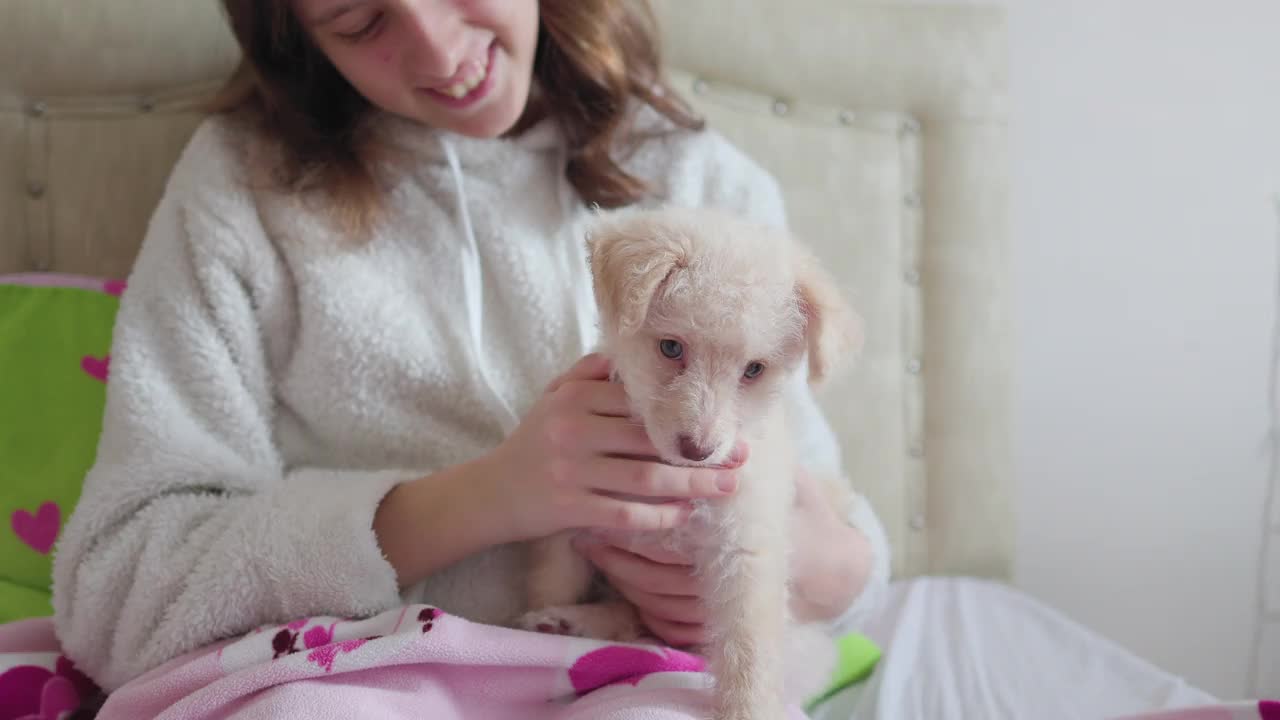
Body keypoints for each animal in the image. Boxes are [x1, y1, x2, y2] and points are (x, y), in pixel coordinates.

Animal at [517, 204, 860, 712]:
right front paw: (529, 630)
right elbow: (552, 577)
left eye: (753, 370)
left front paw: (747, 711)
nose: (697, 450)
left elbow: (748, 648)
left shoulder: (745, 547)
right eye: (671, 347)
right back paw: (566, 622)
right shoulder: (570, 515)